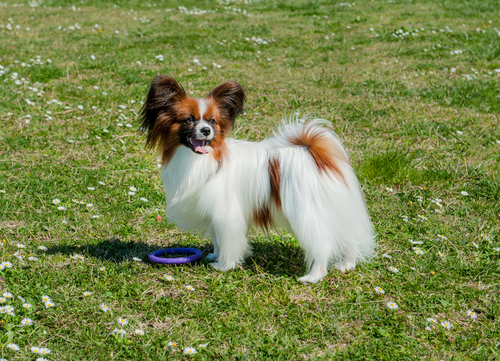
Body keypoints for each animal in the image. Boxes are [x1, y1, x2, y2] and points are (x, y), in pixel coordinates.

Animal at [141, 75, 376, 284]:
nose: (206, 131)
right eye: (189, 120)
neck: (199, 160)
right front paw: (214, 256)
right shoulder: (213, 212)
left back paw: (313, 277)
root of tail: (316, 154)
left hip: (307, 212)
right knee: (349, 237)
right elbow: (216, 238)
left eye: (212, 121)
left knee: (323, 243)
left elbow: (228, 241)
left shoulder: (227, 213)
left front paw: (223, 266)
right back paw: (347, 265)